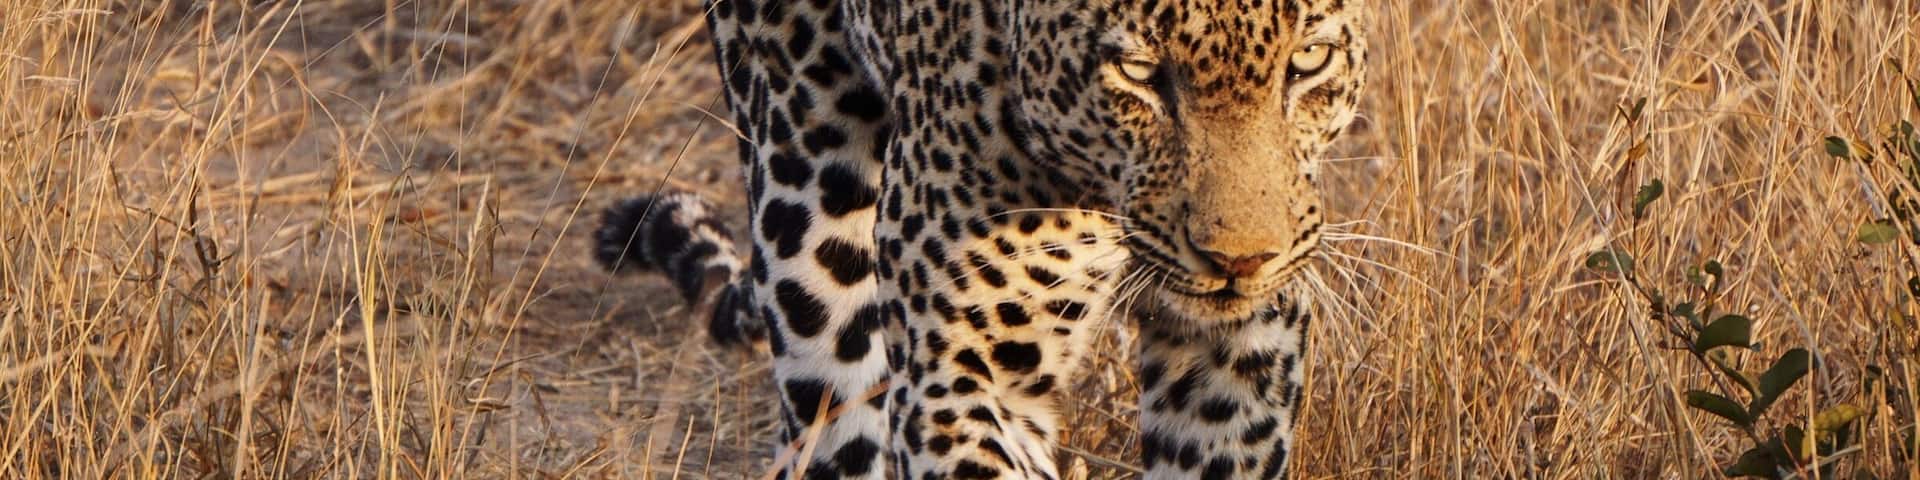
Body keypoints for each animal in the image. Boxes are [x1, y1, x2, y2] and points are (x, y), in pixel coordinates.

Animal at [594, 0, 1369, 478]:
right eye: (1139, 73)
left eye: (1310, 61)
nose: (1241, 261)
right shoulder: (967, 370)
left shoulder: (1241, 355)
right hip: (804, 191)